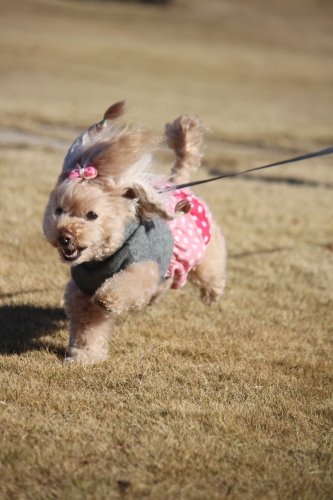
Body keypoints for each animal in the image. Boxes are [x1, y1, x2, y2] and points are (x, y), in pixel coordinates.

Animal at [42, 101, 226, 366]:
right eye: (59, 210)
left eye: (91, 215)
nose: (65, 236)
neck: (101, 261)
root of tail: (176, 182)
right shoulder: (81, 294)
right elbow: (88, 329)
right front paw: (84, 357)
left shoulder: (143, 268)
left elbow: (122, 287)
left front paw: (107, 298)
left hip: (203, 255)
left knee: (211, 274)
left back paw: (212, 294)